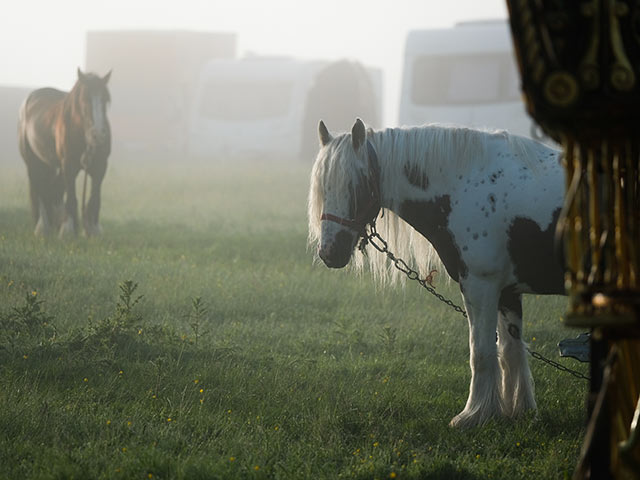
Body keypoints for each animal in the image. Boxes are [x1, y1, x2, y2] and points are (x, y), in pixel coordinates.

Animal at [17, 68, 112, 238]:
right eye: (84, 100)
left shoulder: (100, 167)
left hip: (54, 165)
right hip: (34, 163)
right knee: (39, 189)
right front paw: (67, 231)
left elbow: (95, 198)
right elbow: (72, 198)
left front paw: (93, 231)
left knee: (54, 189)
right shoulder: (68, 165)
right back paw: (43, 227)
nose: (98, 134)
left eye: (105, 100)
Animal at [310, 119, 564, 428]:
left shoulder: (481, 285)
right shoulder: (507, 292)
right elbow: (509, 351)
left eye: (355, 185)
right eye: (323, 187)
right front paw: (518, 411)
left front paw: (473, 415)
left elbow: (481, 351)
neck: (469, 185)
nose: (329, 252)